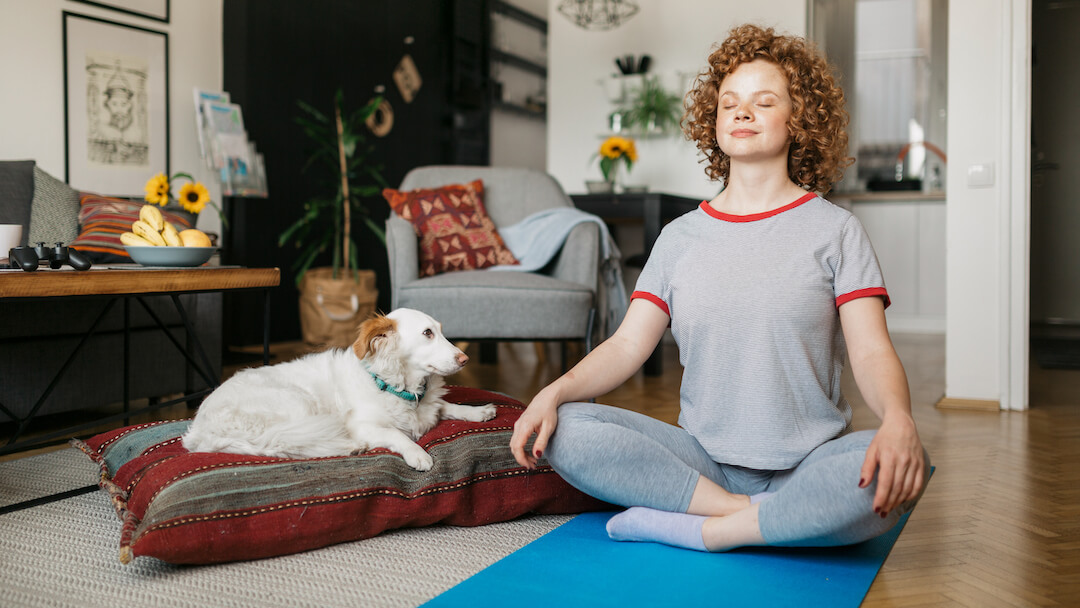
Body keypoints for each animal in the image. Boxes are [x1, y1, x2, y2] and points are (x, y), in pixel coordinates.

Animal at [180, 308, 494, 470]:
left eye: (440, 330)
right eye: (427, 333)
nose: (465, 359)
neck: (396, 385)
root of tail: (201, 430)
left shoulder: (429, 405)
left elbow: (445, 406)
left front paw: (478, 412)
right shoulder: (364, 424)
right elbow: (397, 434)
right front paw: (418, 454)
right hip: (297, 404)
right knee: (285, 444)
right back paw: (351, 447)